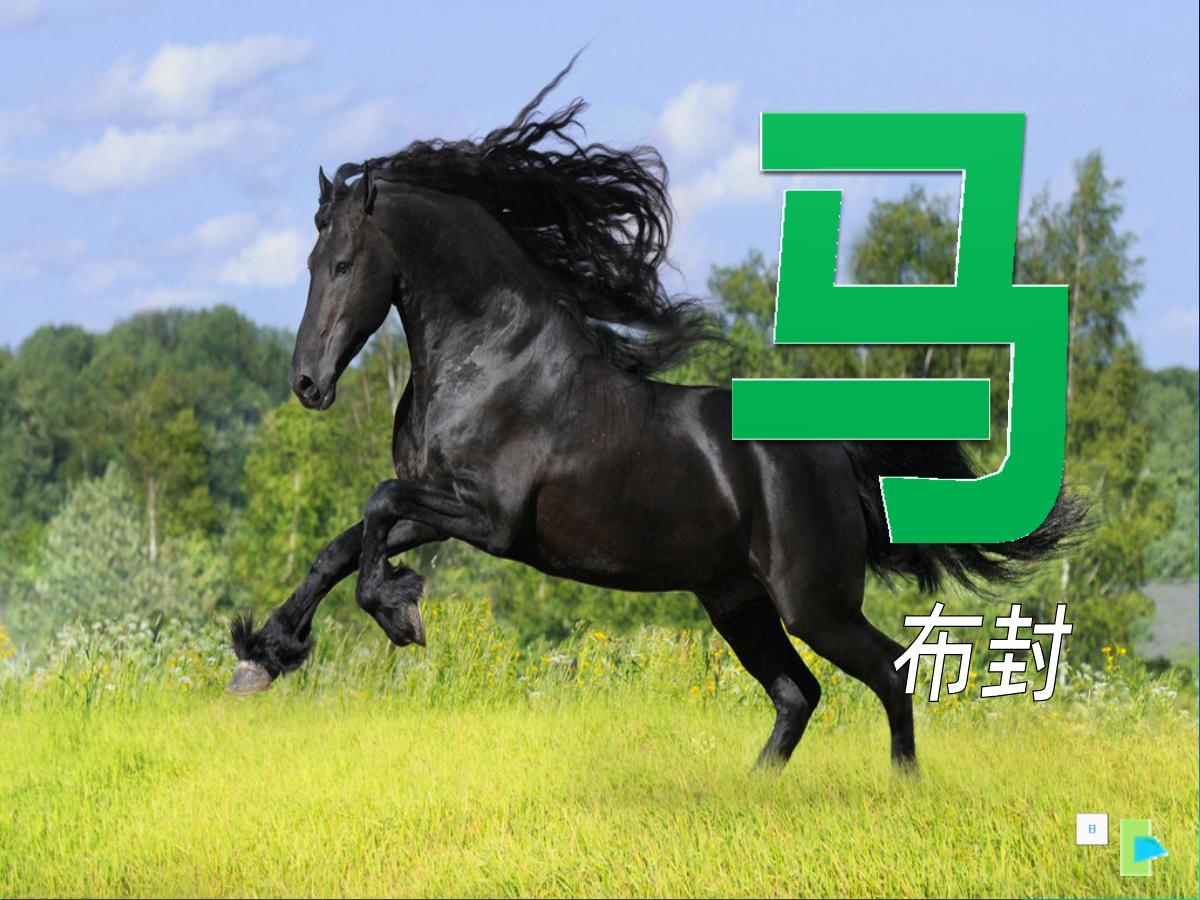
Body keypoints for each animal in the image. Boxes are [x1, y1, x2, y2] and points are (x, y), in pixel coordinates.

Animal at [227, 59, 1083, 770]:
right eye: (309, 262)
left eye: (344, 263)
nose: (307, 383)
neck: (490, 360)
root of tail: (835, 453)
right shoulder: (441, 507)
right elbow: (340, 546)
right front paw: (263, 654)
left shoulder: (489, 518)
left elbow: (374, 508)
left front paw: (398, 614)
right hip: (737, 602)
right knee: (798, 694)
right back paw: (752, 793)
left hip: (814, 603)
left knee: (888, 676)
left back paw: (901, 789)